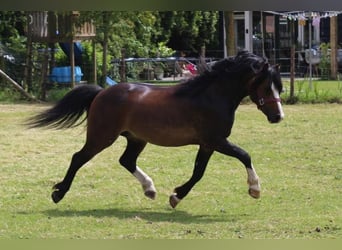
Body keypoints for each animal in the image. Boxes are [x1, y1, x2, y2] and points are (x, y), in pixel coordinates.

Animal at [27, 49, 284, 208]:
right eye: (266, 87)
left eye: (278, 87)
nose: (278, 117)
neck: (210, 96)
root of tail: (101, 92)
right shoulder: (216, 141)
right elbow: (244, 155)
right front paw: (255, 189)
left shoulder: (207, 144)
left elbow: (198, 172)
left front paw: (176, 197)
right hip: (102, 136)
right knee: (78, 158)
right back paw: (58, 193)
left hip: (136, 138)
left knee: (126, 161)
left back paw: (149, 189)